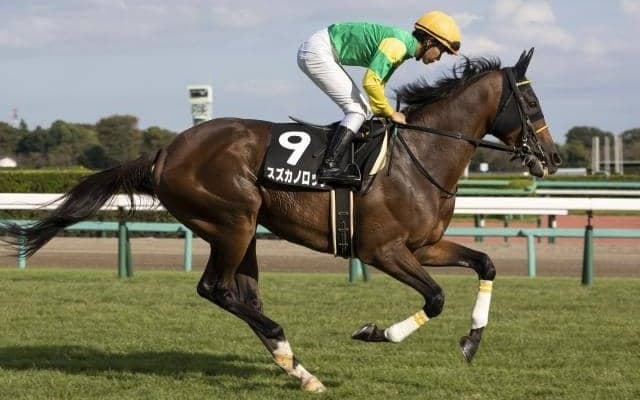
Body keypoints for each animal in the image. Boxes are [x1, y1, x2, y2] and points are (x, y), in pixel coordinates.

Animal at [3, 48, 561, 392]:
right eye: (531, 100)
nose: (552, 157)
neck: (420, 155)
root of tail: (164, 152)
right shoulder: (381, 251)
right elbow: (437, 297)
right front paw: (374, 332)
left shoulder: (423, 246)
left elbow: (486, 264)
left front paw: (471, 342)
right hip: (233, 220)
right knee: (216, 289)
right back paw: (289, 352)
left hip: (243, 228)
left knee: (242, 295)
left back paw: (296, 367)